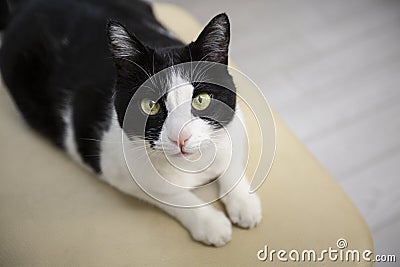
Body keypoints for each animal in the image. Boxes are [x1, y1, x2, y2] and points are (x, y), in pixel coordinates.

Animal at [0, 0, 260, 248]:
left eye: (201, 99)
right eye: (150, 105)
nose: (180, 137)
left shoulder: (237, 123)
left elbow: (232, 160)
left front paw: (244, 203)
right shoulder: (115, 167)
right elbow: (170, 194)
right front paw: (210, 223)